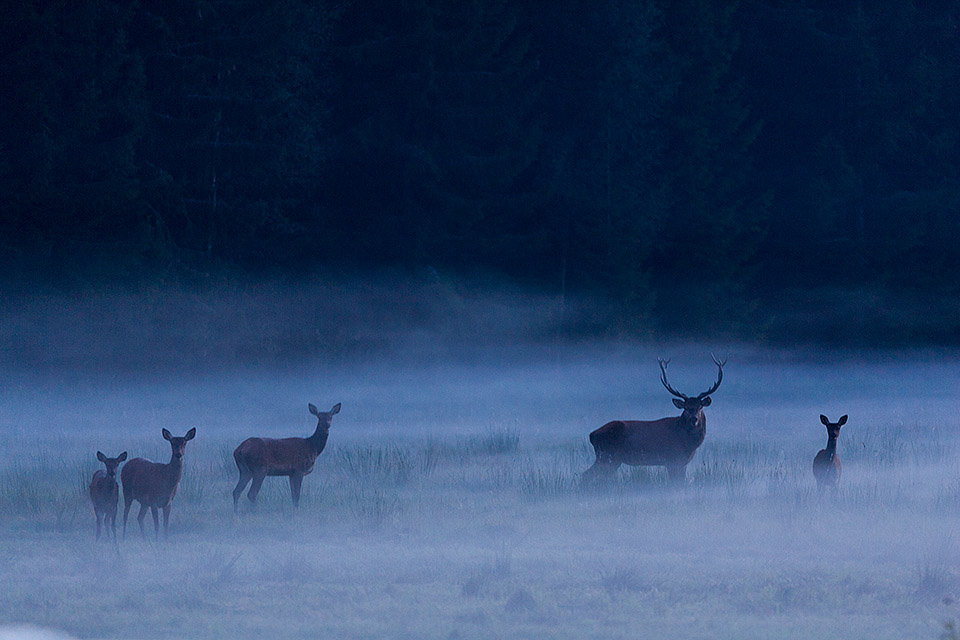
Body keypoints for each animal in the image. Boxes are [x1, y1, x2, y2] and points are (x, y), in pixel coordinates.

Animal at [580, 356, 724, 484]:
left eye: (700, 407)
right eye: (686, 407)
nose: (694, 419)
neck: (687, 443)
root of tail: (592, 435)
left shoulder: (682, 463)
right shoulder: (672, 459)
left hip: (610, 459)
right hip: (607, 456)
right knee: (586, 475)